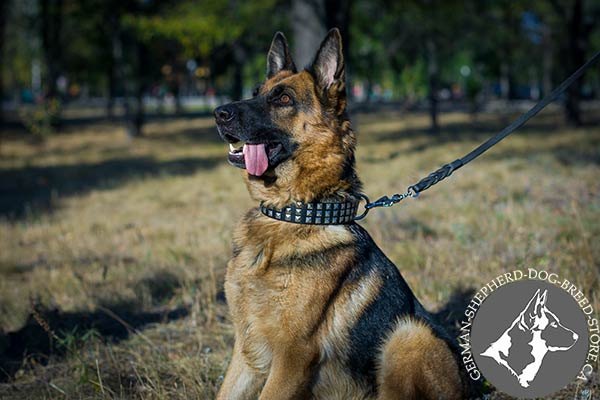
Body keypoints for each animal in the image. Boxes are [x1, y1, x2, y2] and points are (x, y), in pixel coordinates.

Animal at [213, 28, 466, 400]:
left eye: (283, 99)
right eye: (255, 93)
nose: (218, 113)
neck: (296, 213)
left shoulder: (293, 357)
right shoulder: (245, 351)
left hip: (408, 334)